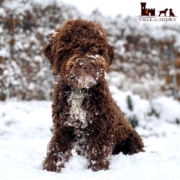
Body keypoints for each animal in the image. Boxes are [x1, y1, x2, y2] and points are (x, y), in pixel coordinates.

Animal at [42, 19, 145, 172]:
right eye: (72, 47)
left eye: (96, 49)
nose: (87, 65)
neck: (80, 90)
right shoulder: (63, 126)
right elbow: (57, 148)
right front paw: (50, 168)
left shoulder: (103, 127)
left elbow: (99, 151)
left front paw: (97, 170)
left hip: (131, 140)